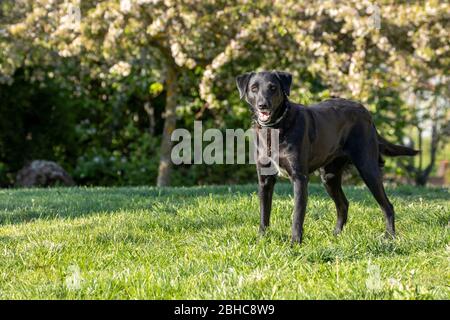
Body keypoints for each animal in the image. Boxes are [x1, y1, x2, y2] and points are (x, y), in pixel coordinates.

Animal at [237, 71, 416, 244]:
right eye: (254, 88)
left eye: (273, 88)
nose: (263, 105)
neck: (274, 128)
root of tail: (365, 111)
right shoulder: (265, 180)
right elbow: (264, 214)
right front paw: (261, 239)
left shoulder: (299, 178)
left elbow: (297, 215)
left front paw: (294, 244)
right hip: (329, 176)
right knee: (343, 204)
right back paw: (336, 235)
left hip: (368, 168)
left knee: (388, 206)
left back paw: (389, 237)